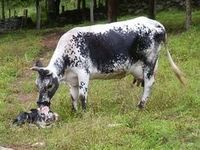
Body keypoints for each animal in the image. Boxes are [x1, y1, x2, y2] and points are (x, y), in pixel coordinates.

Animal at [31, 16, 184, 110]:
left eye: (49, 85)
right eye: (37, 85)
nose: (40, 103)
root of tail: (154, 23)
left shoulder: (83, 72)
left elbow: (82, 95)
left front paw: (84, 114)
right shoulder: (72, 79)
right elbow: (73, 97)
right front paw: (75, 112)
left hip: (149, 62)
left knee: (149, 83)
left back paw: (140, 106)